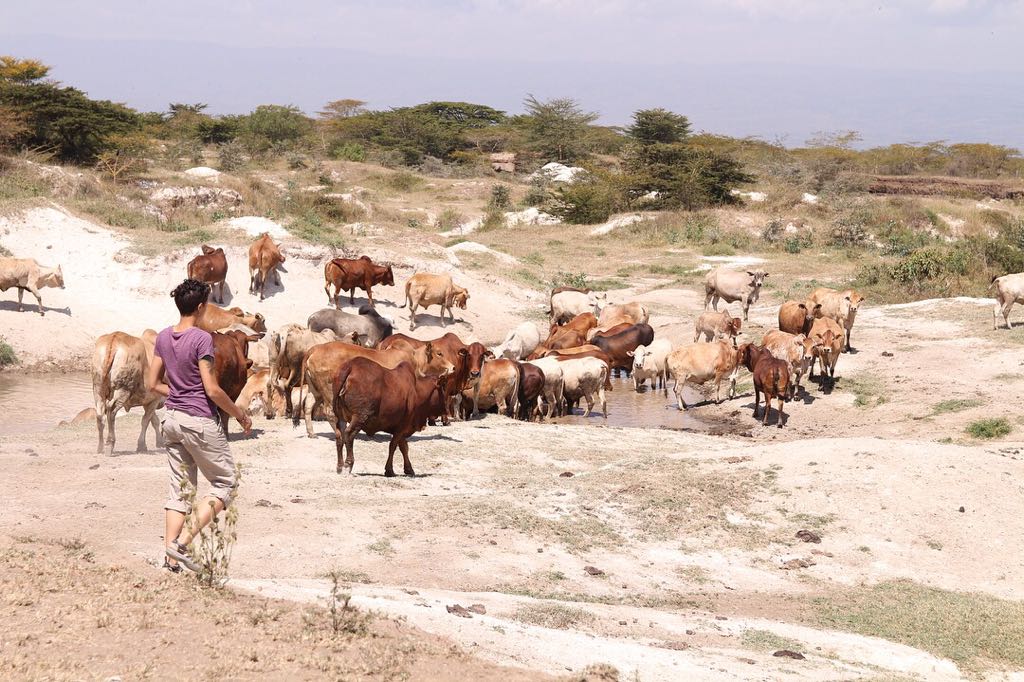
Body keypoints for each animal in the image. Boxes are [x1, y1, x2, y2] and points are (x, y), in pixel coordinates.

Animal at [299, 337, 454, 436]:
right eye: (439, 353)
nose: (452, 367)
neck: (415, 361)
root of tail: (316, 348)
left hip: (315, 390)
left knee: (308, 406)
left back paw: (311, 433)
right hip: (329, 391)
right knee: (330, 412)